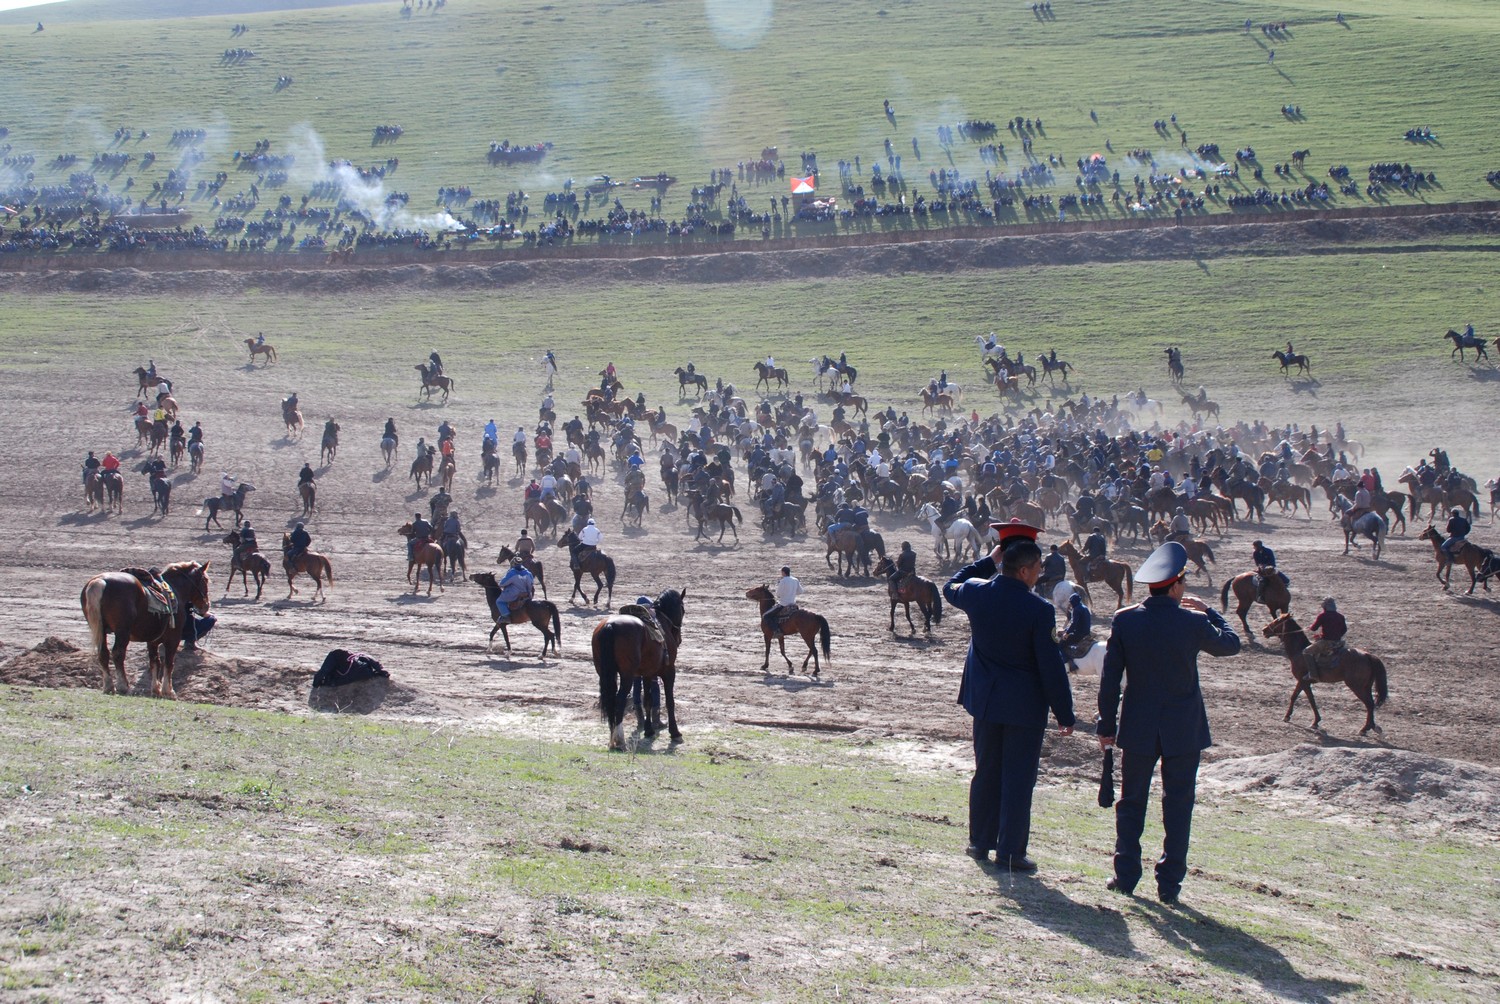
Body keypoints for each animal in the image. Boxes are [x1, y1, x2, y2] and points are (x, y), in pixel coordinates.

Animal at [81, 561, 213, 702]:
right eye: (205, 580)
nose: (206, 606)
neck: (175, 589)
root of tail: (100, 581)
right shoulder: (173, 638)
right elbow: (169, 663)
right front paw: (168, 691)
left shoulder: (152, 641)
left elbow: (155, 662)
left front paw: (156, 690)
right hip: (122, 632)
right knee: (118, 653)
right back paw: (123, 686)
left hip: (100, 630)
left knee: (103, 654)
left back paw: (109, 686)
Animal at [591, 588, 687, 744]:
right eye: (682, 609)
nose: (679, 639)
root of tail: (610, 625)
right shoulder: (669, 671)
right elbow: (669, 701)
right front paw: (675, 732)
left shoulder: (647, 673)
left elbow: (647, 701)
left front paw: (649, 730)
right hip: (627, 676)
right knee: (619, 699)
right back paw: (619, 739)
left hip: (605, 673)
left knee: (610, 699)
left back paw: (612, 737)